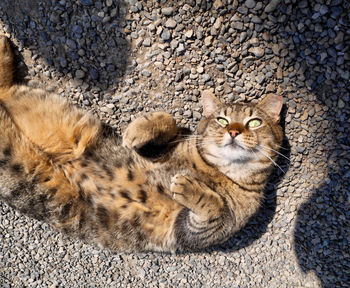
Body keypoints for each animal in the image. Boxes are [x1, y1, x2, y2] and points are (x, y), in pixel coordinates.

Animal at [0, 36, 284, 251]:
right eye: (222, 120)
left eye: (254, 123)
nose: (234, 131)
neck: (218, 171)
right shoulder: (158, 152)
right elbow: (169, 121)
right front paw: (139, 128)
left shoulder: (200, 230)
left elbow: (213, 207)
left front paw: (188, 186)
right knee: (5, 89)